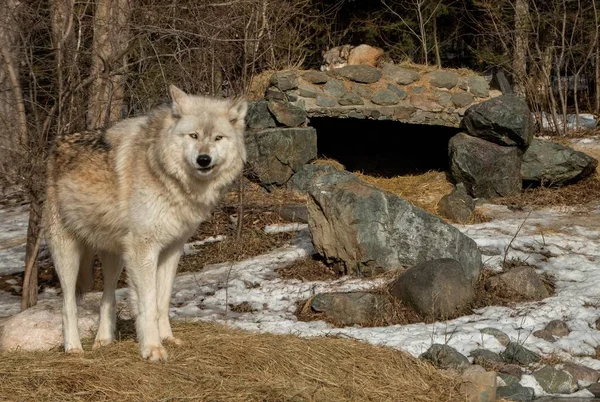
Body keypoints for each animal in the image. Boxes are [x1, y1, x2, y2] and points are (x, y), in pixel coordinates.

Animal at [44, 85, 246, 362]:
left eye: (218, 138)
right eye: (193, 135)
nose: (203, 159)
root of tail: (57, 143)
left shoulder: (172, 248)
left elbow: (162, 302)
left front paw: (167, 338)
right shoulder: (144, 249)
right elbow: (148, 305)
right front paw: (152, 348)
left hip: (115, 256)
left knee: (107, 297)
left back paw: (104, 340)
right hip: (67, 252)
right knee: (68, 304)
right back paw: (73, 347)